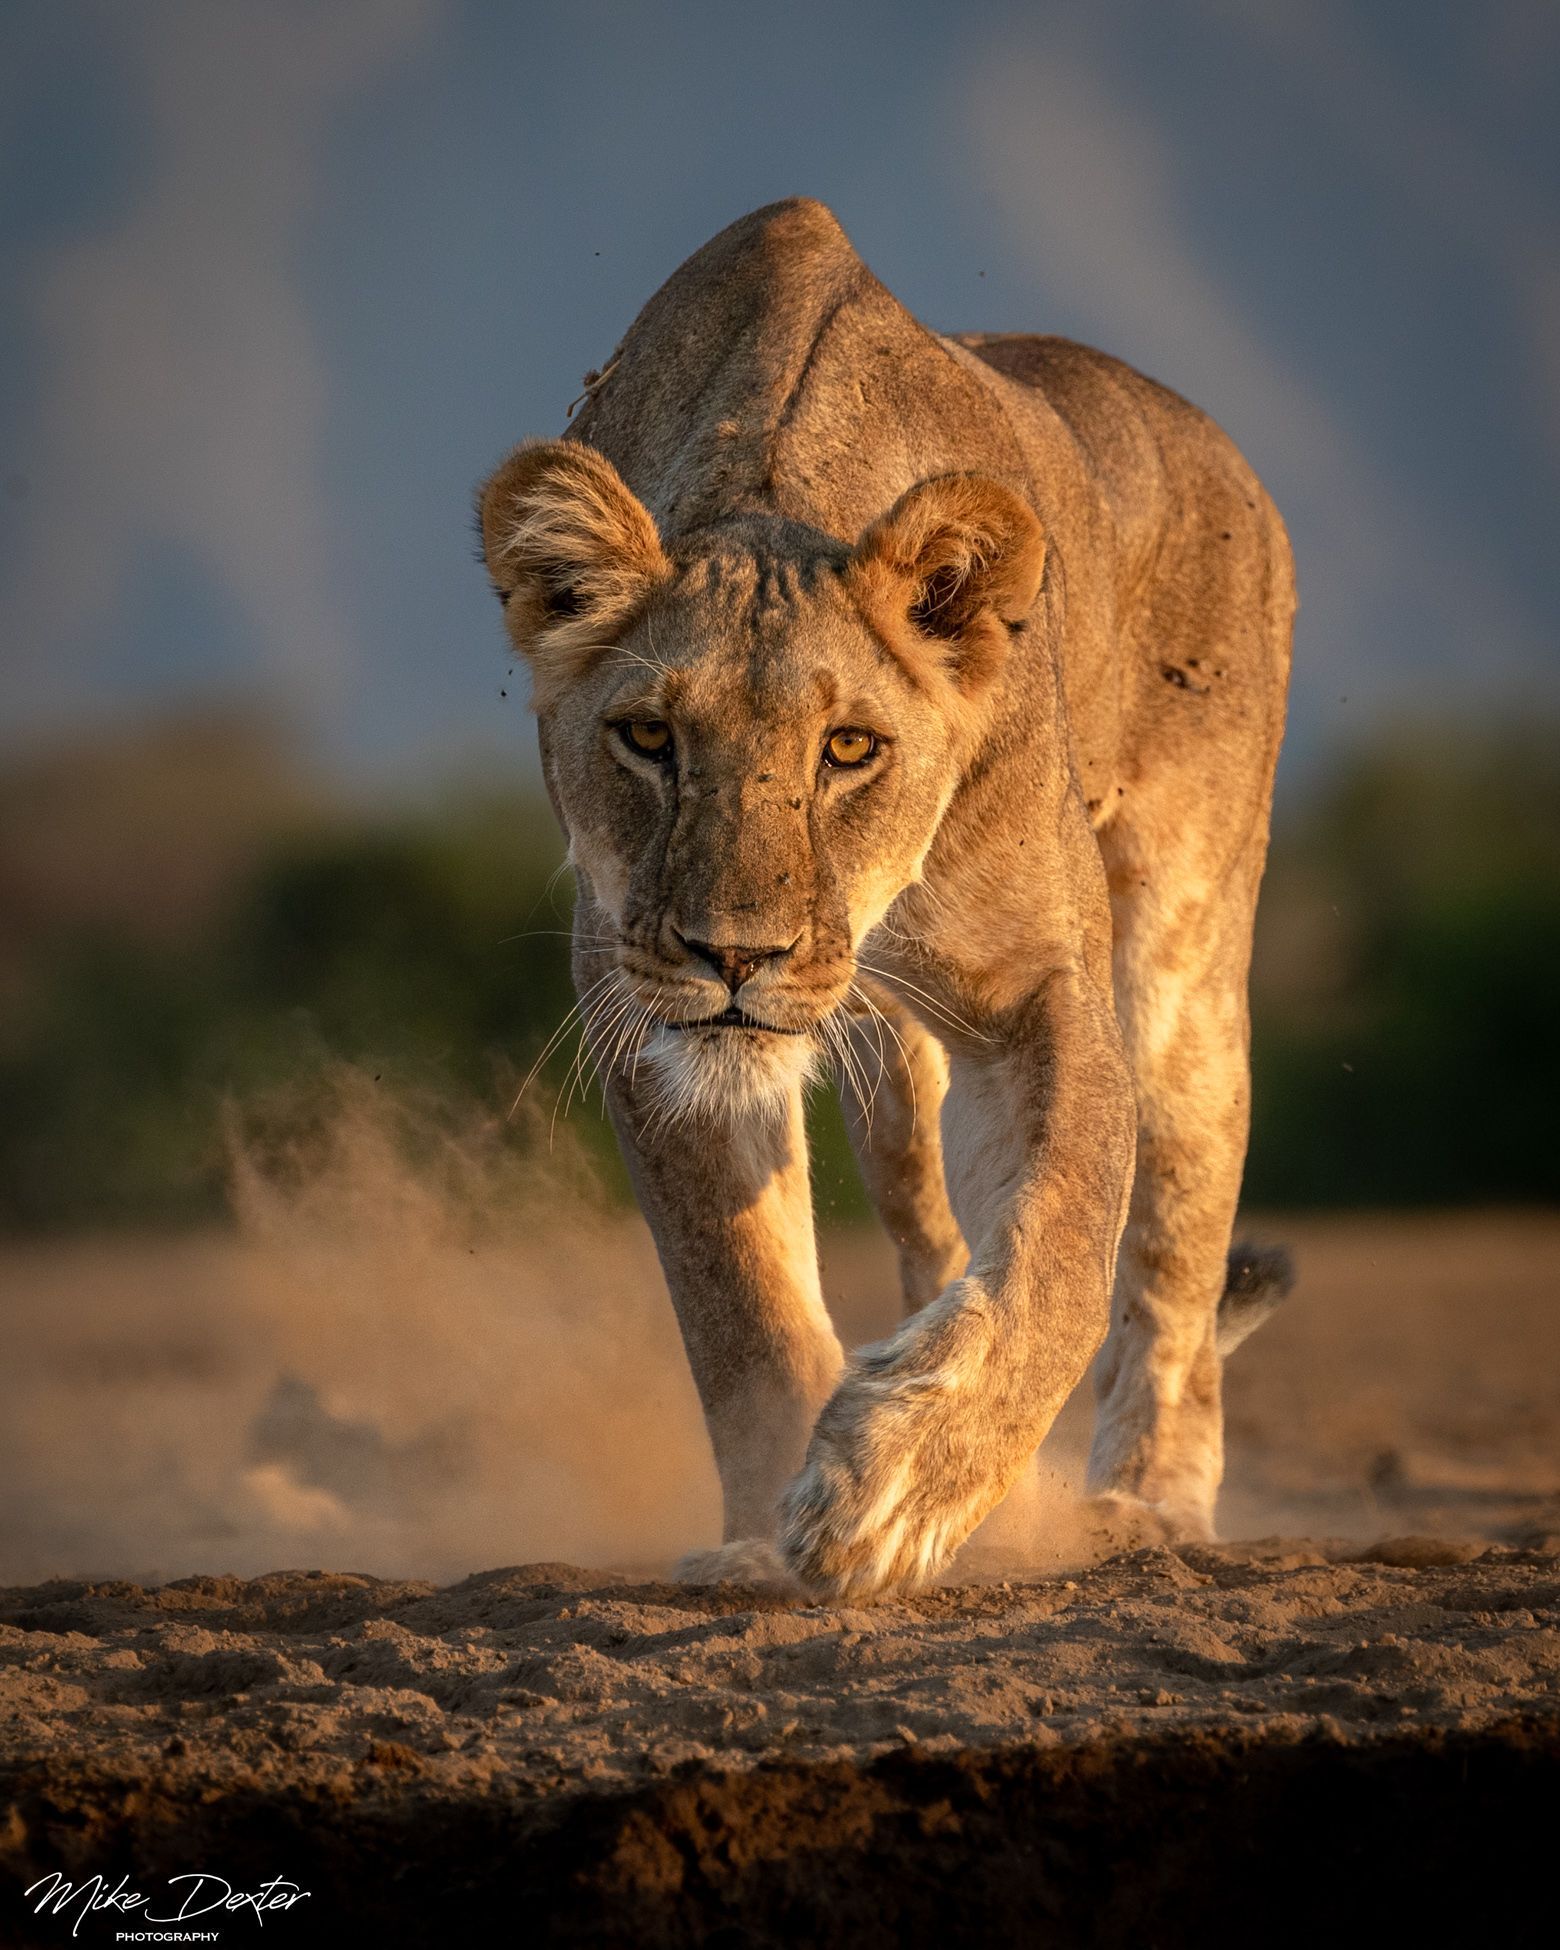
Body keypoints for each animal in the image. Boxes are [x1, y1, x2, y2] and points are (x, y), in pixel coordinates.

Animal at [478, 199, 1294, 1600]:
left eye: (849, 748)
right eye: (647, 737)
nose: (734, 955)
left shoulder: (1036, 981)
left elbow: (1069, 1245)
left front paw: (900, 1487)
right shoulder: (635, 998)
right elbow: (740, 1297)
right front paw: (770, 1527)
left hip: (1186, 966)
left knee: (1176, 1259)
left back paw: (1145, 1506)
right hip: (894, 1077)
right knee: (936, 1230)